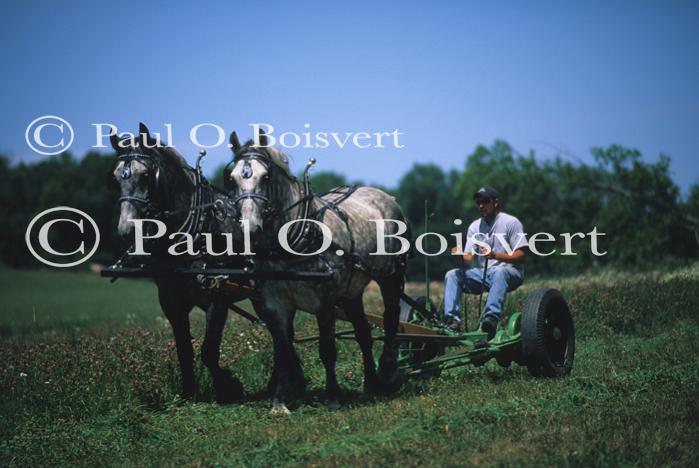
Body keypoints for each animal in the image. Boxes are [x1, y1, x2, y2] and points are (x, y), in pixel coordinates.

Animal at [224, 131, 410, 414]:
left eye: (265, 177)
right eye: (232, 178)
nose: (249, 230)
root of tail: (386, 197)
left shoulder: (325, 302)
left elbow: (327, 349)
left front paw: (332, 396)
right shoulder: (274, 304)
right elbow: (282, 350)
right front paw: (280, 401)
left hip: (390, 275)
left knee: (390, 319)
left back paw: (387, 370)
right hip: (352, 290)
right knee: (363, 334)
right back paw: (370, 385)